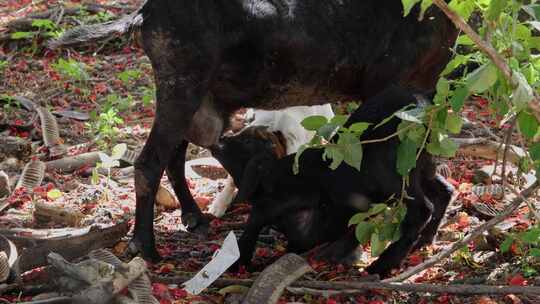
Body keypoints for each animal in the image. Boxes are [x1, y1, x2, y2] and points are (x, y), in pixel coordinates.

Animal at [50, 0, 458, 262]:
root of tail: (146, 13)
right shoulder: (385, 87)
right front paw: (349, 248)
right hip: (181, 88)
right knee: (149, 163)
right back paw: (146, 247)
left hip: (196, 99)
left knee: (174, 158)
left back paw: (194, 217)